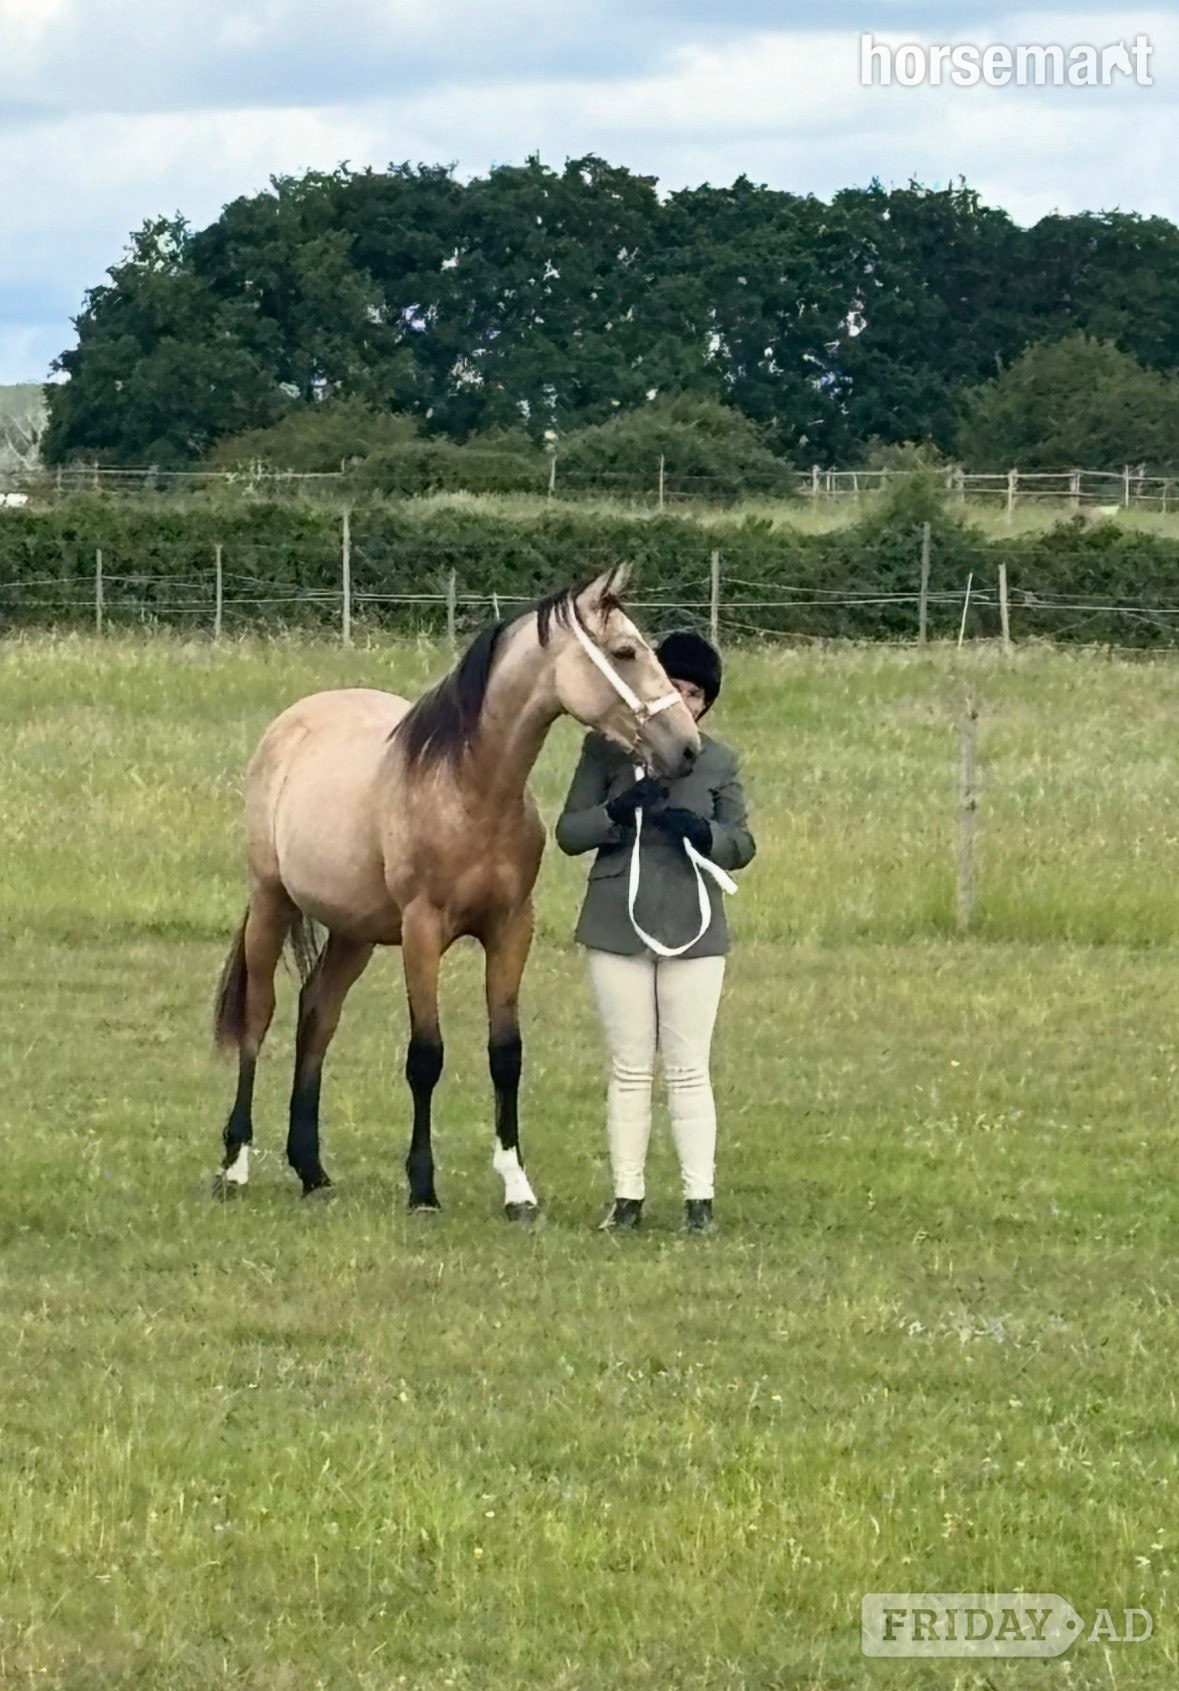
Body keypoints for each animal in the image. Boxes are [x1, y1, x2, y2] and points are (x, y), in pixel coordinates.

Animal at [210, 566, 701, 1219]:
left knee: (317, 1014)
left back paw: (311, 1169)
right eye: (625, 651)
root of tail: (293, 723)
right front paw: (422, 1187)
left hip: (354, 932)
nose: (688, 748)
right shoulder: (422, 931)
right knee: (259, 1017)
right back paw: (234, 1165)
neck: (467, 788)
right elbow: (426, 1056)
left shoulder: (512, 929)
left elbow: (506, 1053)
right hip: (272, 902)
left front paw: (517, 1188)